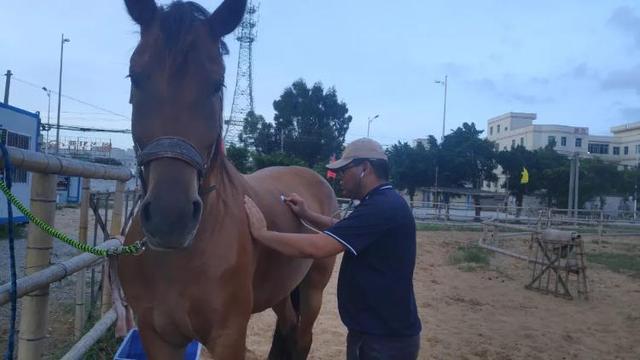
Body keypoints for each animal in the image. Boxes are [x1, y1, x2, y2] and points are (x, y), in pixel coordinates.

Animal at [120, 1, 340, 358]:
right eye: (134, 76)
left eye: (218, 83)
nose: (171, 218)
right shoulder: (156, 336)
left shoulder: (229, 336)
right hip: (281, 290)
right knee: (287, 327)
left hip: (314, 289)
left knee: (302, 337)